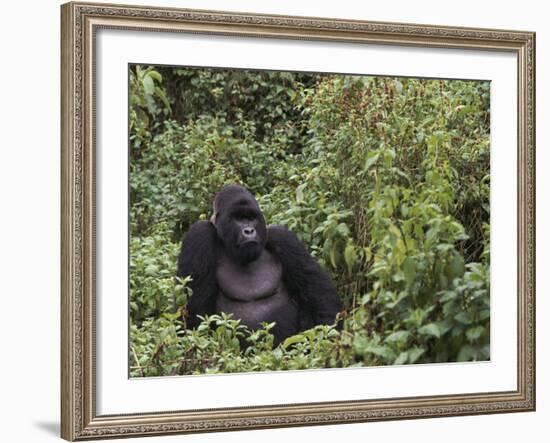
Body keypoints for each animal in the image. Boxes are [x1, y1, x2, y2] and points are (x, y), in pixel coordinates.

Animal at [177, 184, 342, 344]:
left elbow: (319, 295)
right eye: (238, 218)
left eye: (251, 218)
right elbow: (194, 311)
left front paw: (326, 339)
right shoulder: (199, 234)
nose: (249, 230)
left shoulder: (283, 237)